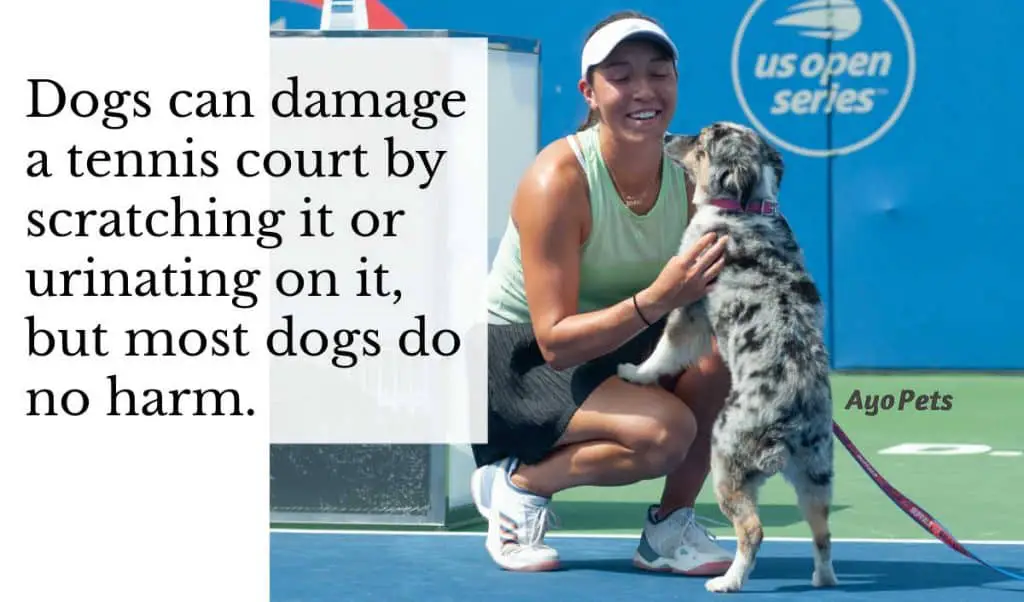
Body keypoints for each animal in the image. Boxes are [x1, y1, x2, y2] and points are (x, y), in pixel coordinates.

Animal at [614, 121, 839, 593]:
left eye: (701, 143)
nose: (666, 137)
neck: (745, 208)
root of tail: (793, 415)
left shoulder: (687, 308)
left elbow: (662, 354)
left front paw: (633, 371)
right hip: (816, 474)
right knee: (823, 532)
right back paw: (823, 579)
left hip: (726, 460)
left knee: (753, 530)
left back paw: (728, 581)